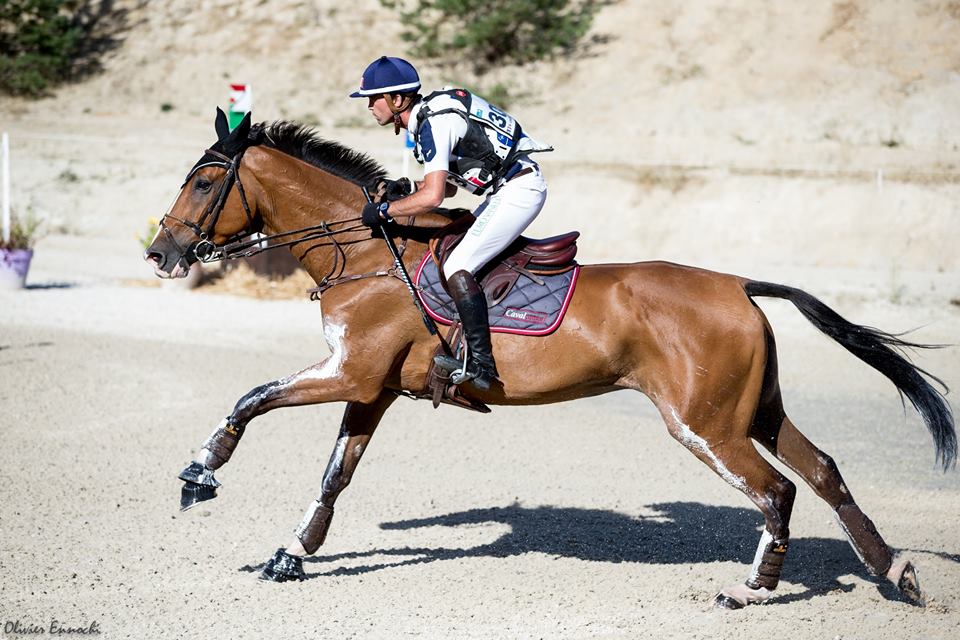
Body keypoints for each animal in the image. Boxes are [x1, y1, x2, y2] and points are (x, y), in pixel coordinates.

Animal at [144, 111, 952, 608]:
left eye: (205, 180)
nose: (160, 253)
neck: (368, 252)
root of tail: (736, 284)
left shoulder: (348, 373)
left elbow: (251, 398)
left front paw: (199, 474)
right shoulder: (370, 387)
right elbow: (335, 474)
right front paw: (292, 553)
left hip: (704, 423)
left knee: (776, 490)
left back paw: (751, 589)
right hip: (754, 410)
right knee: (823, 471)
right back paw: (897, 572)